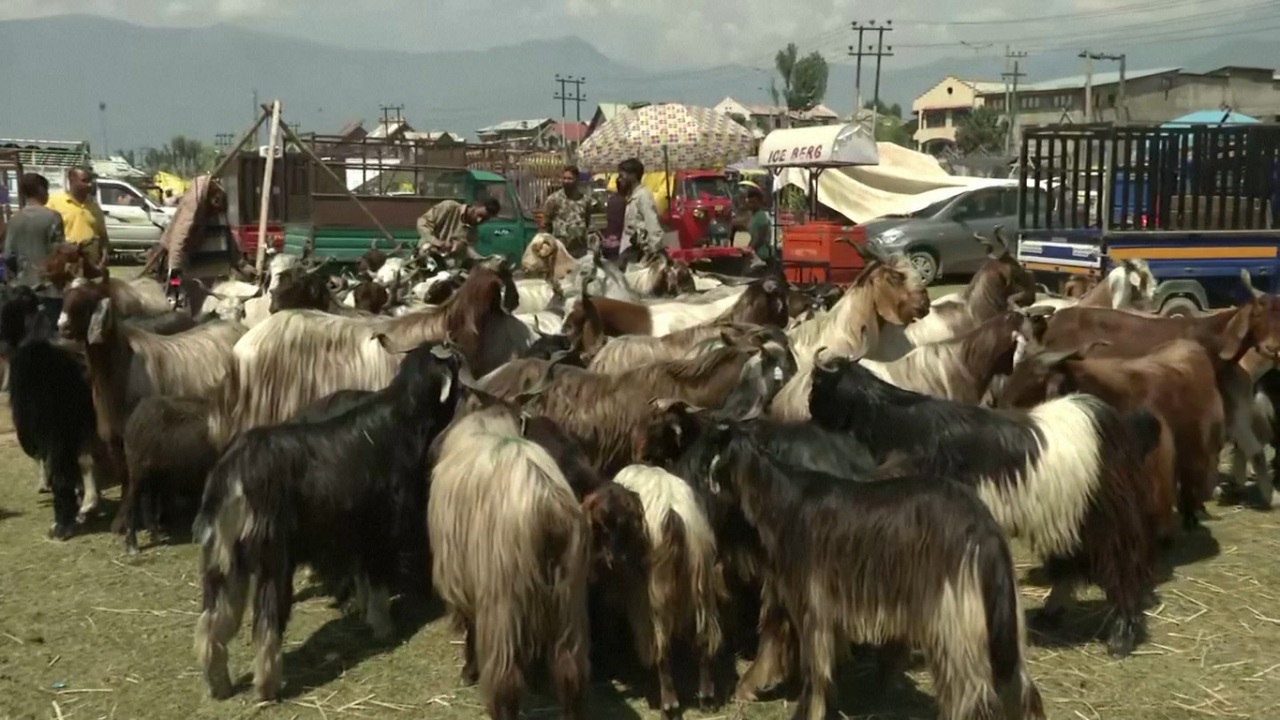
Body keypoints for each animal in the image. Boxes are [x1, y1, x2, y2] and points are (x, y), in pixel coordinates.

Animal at [192, 335, 463, 702]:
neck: (400, 423)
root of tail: (231, 477)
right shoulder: (378, 528)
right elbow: (377, 582)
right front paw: (384, 628)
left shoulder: (357, 530)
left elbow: (364, 580)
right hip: (273, 558)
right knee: (266, 625)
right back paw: (267, 687)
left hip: (223, 560)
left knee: (212, 622)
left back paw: (219, 684)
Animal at [430, 404, 588, 717]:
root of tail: (546, 504)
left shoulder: (463, 578)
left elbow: (470, 628)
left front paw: (468, 671)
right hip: (568, 592)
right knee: (570, 671)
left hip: (502, 595)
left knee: (506, 682)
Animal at [814, 345, 1167, 653]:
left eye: (818, 383)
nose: (811, 410)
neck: (897, 424)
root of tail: (1111, 424)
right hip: (1071, 521)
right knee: (1069, 566)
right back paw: (1050, 614)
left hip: (1107, 521)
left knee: (1123, 568)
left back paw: (1122, 636)